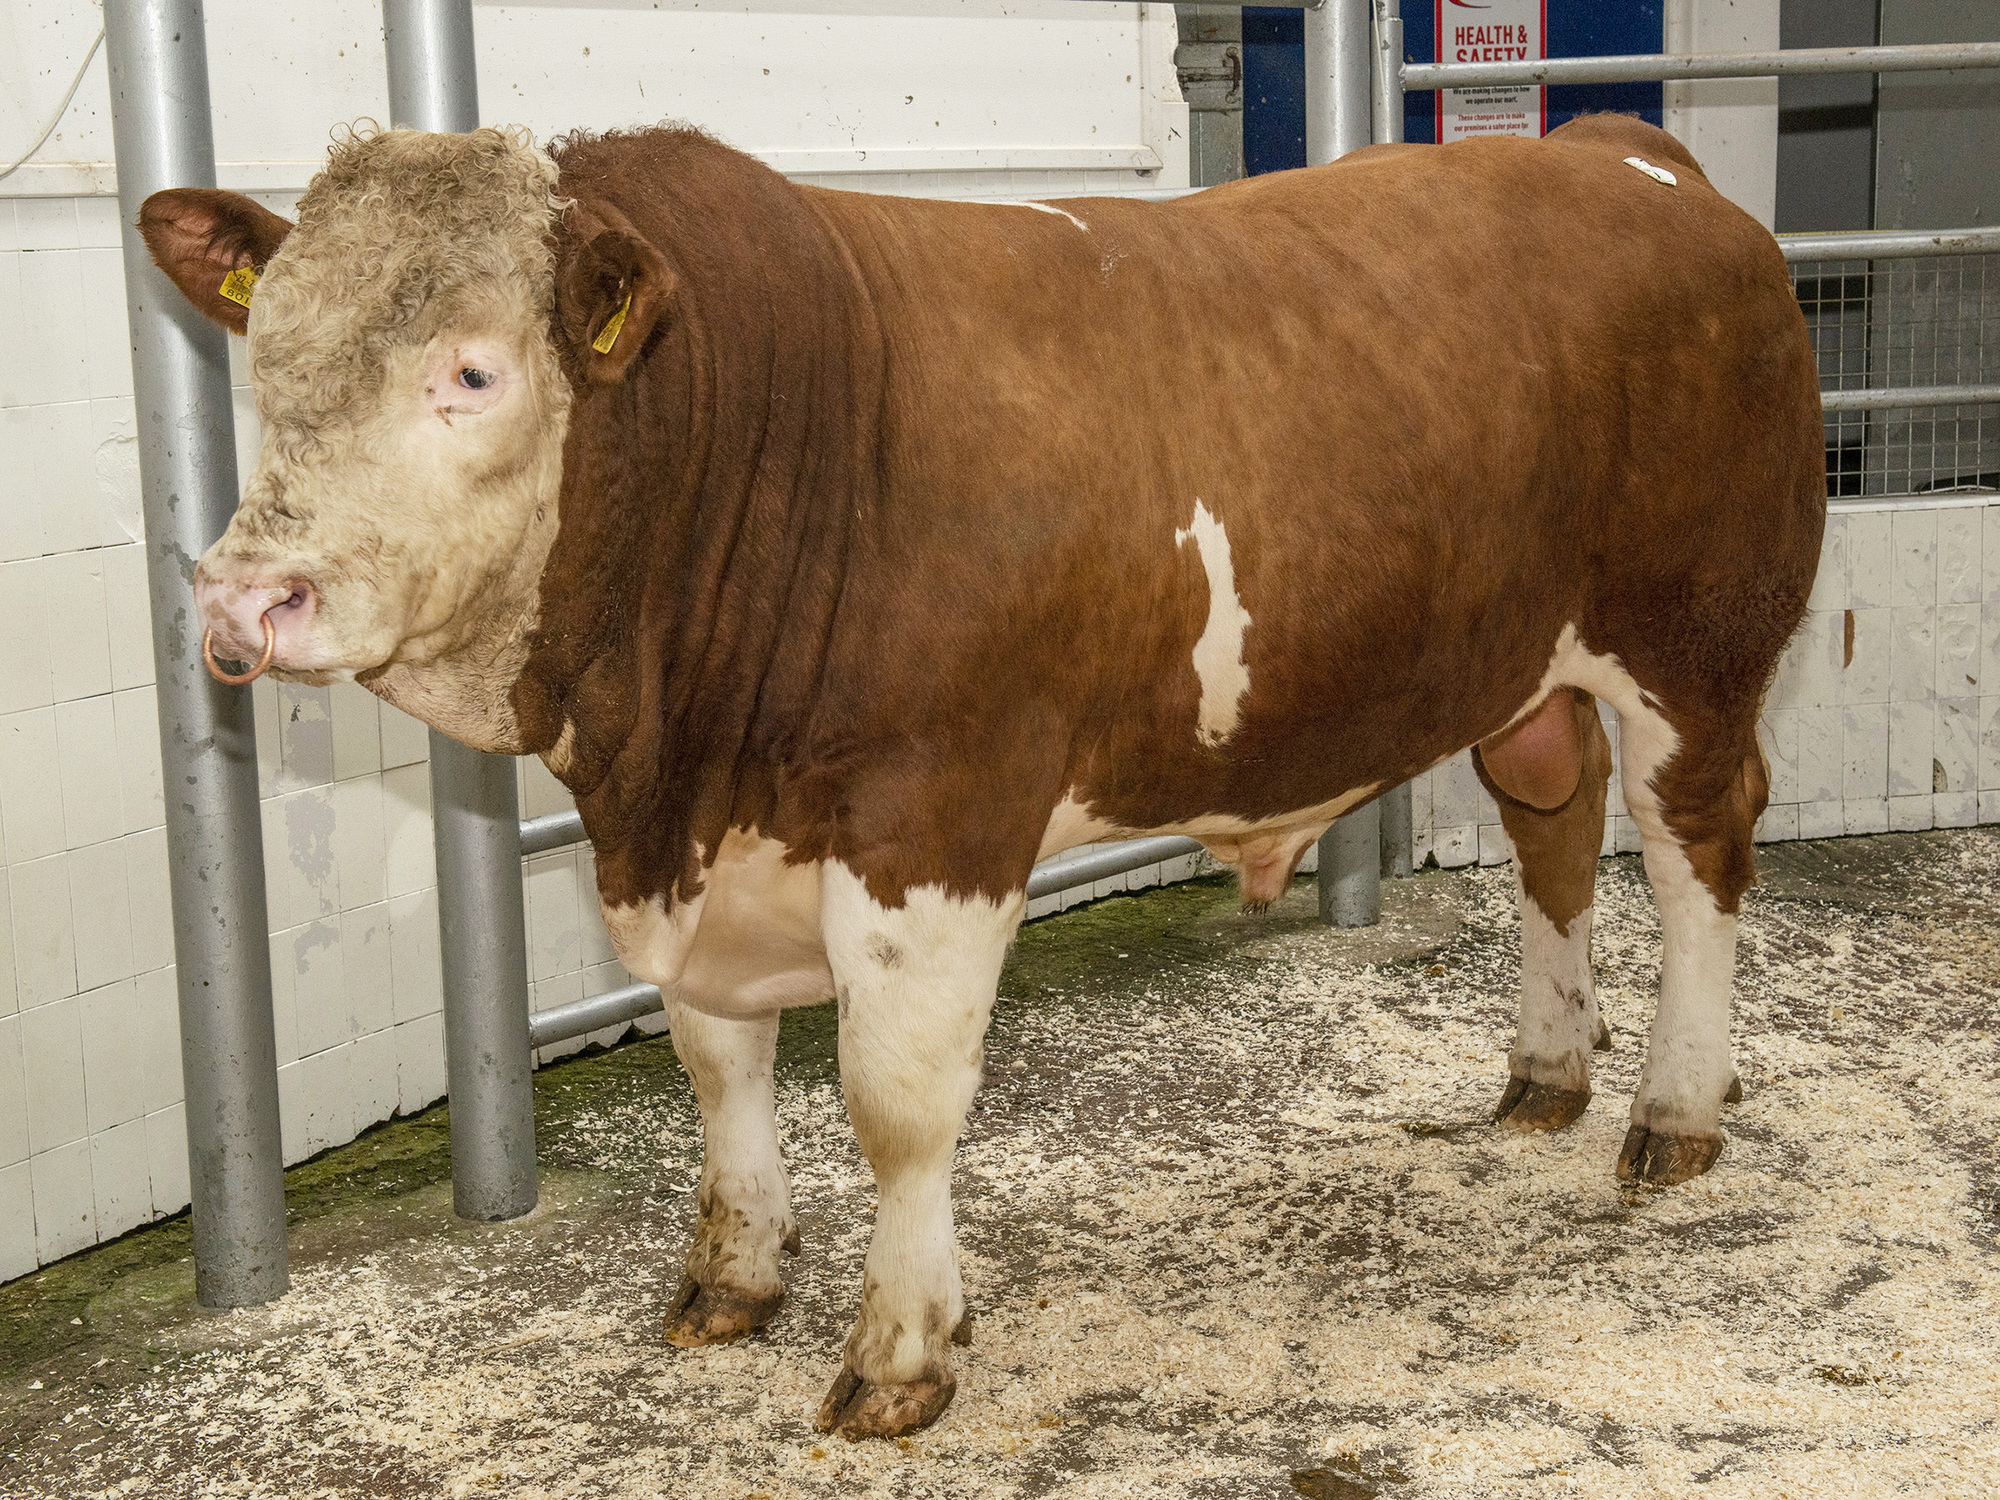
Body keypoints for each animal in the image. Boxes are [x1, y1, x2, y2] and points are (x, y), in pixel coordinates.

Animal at [141, 114, 1825, 1440]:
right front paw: (733, 1275)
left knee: (1696, 856)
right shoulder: (705, 850)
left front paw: (899, 1353)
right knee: (1556, 824)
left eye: (476, 371)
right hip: (1521, 666)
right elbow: (719, 1067)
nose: (243, 600)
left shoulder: (936, 815)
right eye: (266, 357)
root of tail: (1621, 149)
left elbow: (896, 1104)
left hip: (1699, 643)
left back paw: (1673, 1111)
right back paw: (1546, 1073)